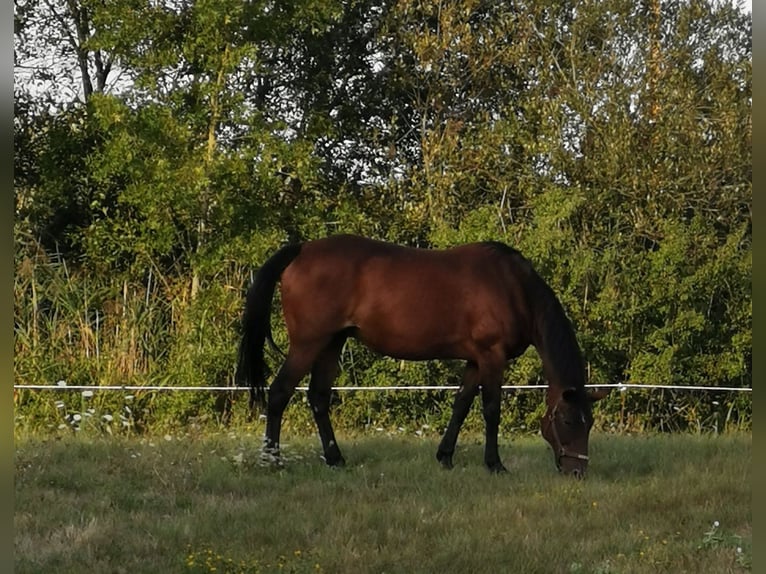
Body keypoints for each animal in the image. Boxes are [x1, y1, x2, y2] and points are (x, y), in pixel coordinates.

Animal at [237, 236, 608, 480]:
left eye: (589, 423)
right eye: (568, 421)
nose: (577, 471)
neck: (513, 288)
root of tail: (301, 250)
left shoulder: (475, 360)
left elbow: (461, 405)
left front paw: (445, 457)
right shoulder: (492, 357)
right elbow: (491, 410)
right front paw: (494, 464)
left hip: (331, 344)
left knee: (318, 398)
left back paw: (336, 459)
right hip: (308, 344)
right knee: (280, 393)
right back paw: (272, 460)